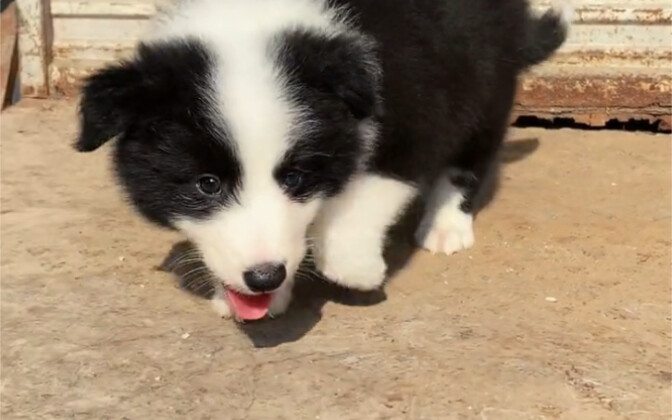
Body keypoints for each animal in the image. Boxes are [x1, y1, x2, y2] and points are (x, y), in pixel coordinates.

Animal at [75, 0, 568, 320]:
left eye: (295, 177)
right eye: (207, 183)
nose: (264, 277)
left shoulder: (414, 120)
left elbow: (363, 198)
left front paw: (358, 269)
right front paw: (254, 293)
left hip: (486, 81)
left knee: (470, 155)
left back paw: (446, 224)